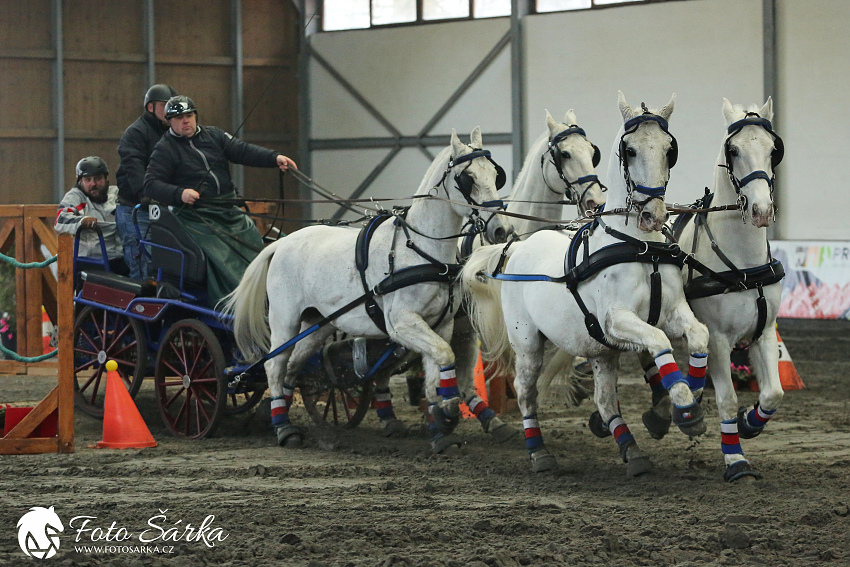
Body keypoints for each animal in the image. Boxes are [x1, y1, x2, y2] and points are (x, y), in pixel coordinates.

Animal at [222, 126, 506, 450]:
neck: (421, 248)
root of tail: (281, 243)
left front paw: (441, 428)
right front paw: (447, 415)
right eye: (467, 177)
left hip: (317, 324)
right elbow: (445, 358)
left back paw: (290, 420)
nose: (501, 229)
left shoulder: (442, 324)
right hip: (285, 321)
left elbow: (438, 373)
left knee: (293, 366)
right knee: (274, 365)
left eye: (495, 174)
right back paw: (284, 428)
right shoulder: (401, 324)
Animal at [460, 92, 704, 474]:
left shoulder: (673, 312)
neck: (639, 247)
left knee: (605, 400)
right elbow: (659, 340)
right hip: (527, 343)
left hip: (602, 352)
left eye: (670, 149)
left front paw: (694, 393)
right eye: (629, 150)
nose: (654, 215)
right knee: (526, 390)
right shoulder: (617, 319)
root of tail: (515, 248)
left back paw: (632, 451)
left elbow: (699, 335)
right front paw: (685, 406)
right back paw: (539, 452)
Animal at [636, 100, 780, 482]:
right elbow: (727, 399)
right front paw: (736, 461)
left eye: (773, 150)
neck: (743, 266)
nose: (761, 210)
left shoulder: (764, 332)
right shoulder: (717, 338)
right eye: (734, 150)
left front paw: (749, 424)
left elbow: (773, 394)